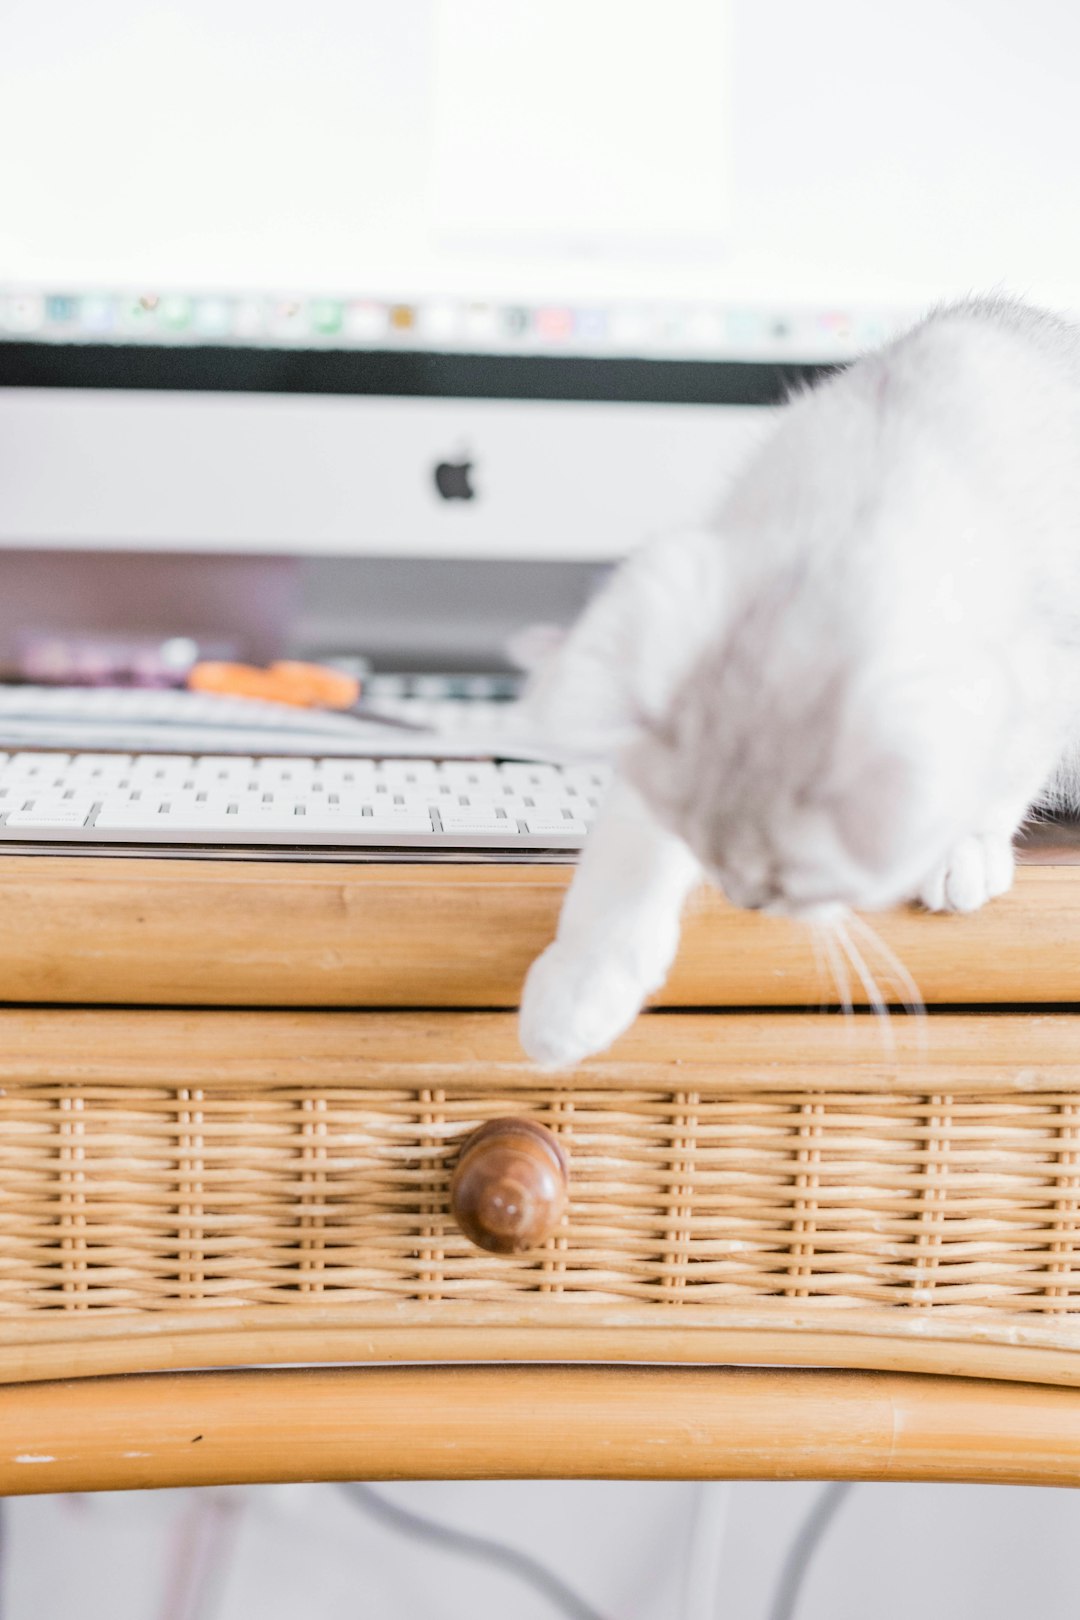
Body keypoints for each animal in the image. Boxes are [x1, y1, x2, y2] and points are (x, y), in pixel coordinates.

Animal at [518, 298, 1080, 1069]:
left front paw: (961, 844)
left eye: (798, 879)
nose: (741, 897)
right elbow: (626, 858)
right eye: (702, 845)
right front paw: (577, 992)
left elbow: (1005, 766)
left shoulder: (1045, 669)